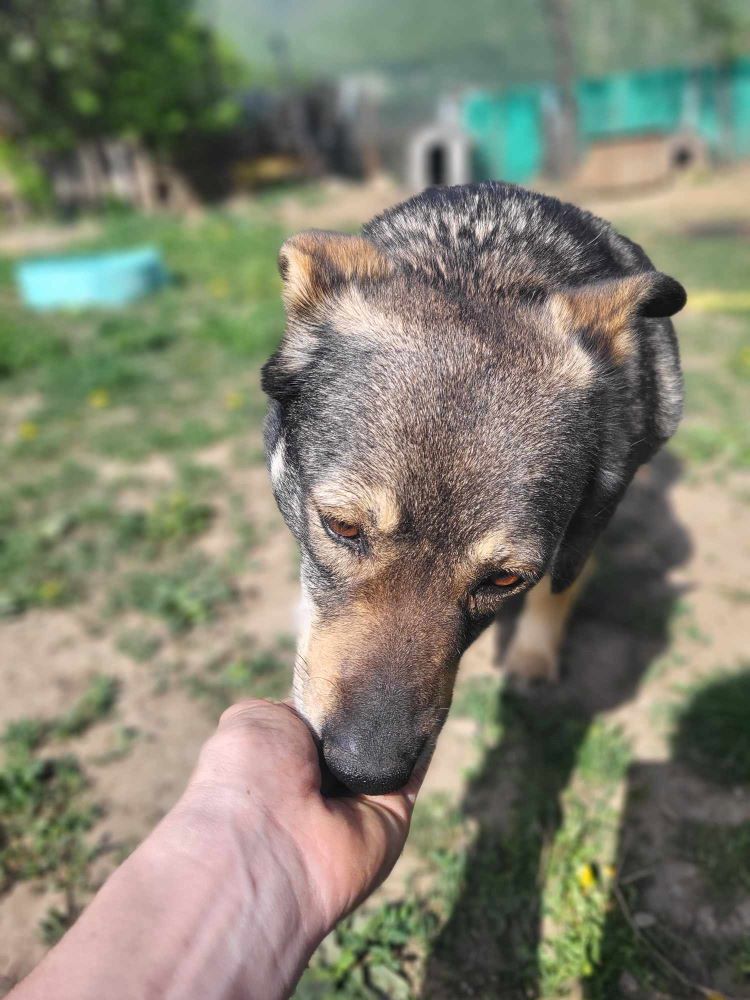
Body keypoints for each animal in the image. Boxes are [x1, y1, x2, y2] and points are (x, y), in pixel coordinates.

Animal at [260, 184, 688, 796]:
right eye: (341, 527)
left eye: (505, 579)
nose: (366, 772)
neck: (486, 267)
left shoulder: (584, 529)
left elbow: (556, 590)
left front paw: (533, 657)